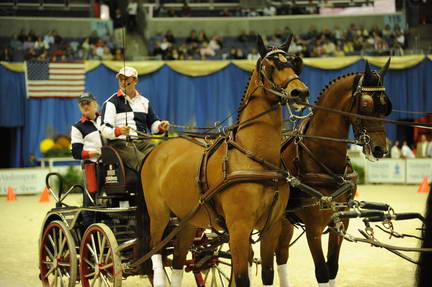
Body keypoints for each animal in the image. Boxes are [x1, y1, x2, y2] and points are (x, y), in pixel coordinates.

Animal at [140, 35, 308, 287]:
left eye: (293, 63)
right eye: (269, 66)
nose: (300, 92)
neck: (254, 158)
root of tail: (156, 151)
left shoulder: (271, 226)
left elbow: (268, 274)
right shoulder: (238, 227)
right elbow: (241, 277)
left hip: (187, 220)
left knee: (178, 260)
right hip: (158, 215)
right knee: (156, 255)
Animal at [260, 59, 394, 286]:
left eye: (385, 107)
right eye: (365, 105)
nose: (379, 149)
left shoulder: (341, 221)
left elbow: (332, 268)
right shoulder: (313, 225)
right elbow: (322, 271)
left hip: (284, 221)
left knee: (281, 255)